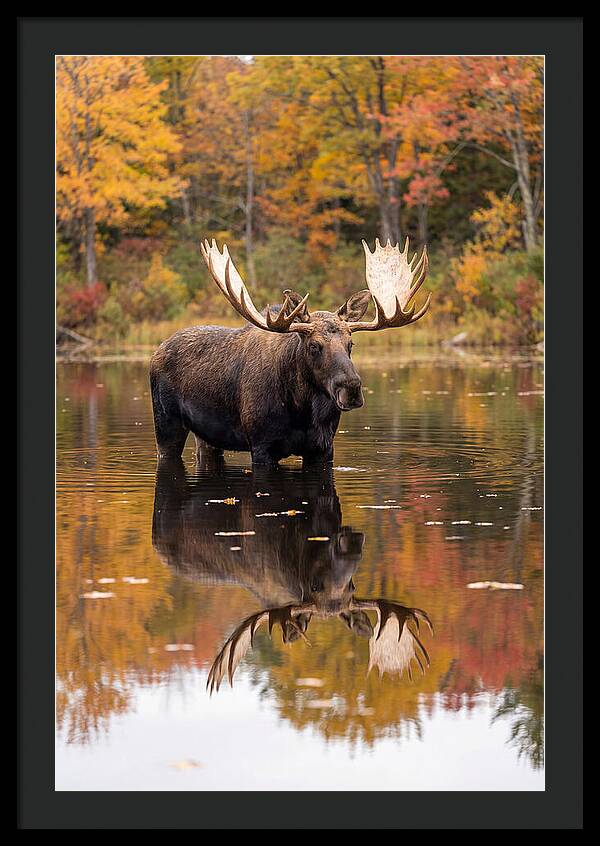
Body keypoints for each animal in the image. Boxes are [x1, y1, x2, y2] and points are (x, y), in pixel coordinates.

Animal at [149, 237, 431, 466]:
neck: (301, 410)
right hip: (166, 424)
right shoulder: (261, 445)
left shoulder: (323, 448)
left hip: (207, 436)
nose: (350, 388)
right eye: (314, 345)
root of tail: (157, 350)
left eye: (351, 344)